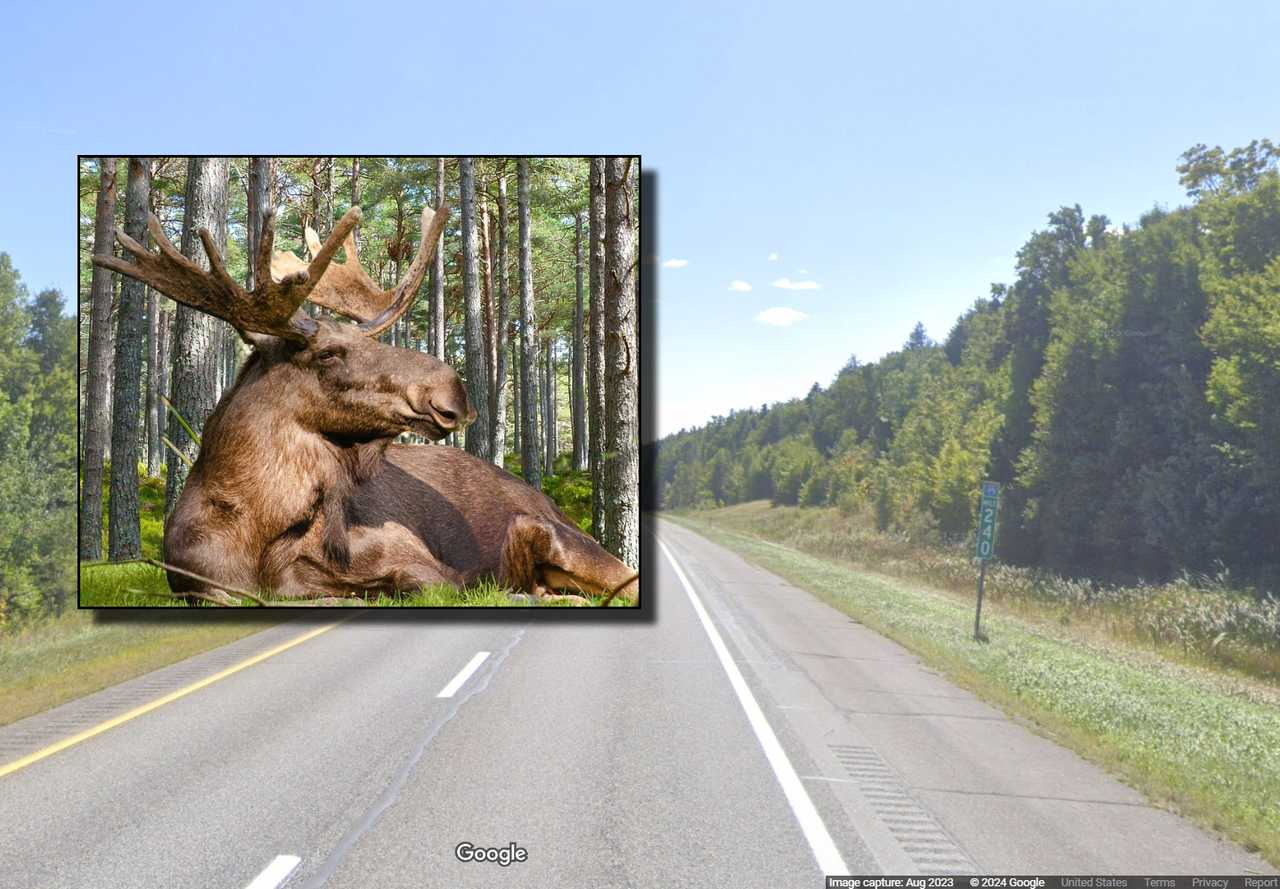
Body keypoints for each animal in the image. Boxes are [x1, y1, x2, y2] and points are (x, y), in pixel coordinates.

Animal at [93, 201, 640, 607]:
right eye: (329, 352)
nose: (453, 391)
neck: (258, 528)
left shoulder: (425, 564)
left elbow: (400, 586)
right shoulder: (198, 582)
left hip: (566, 539)